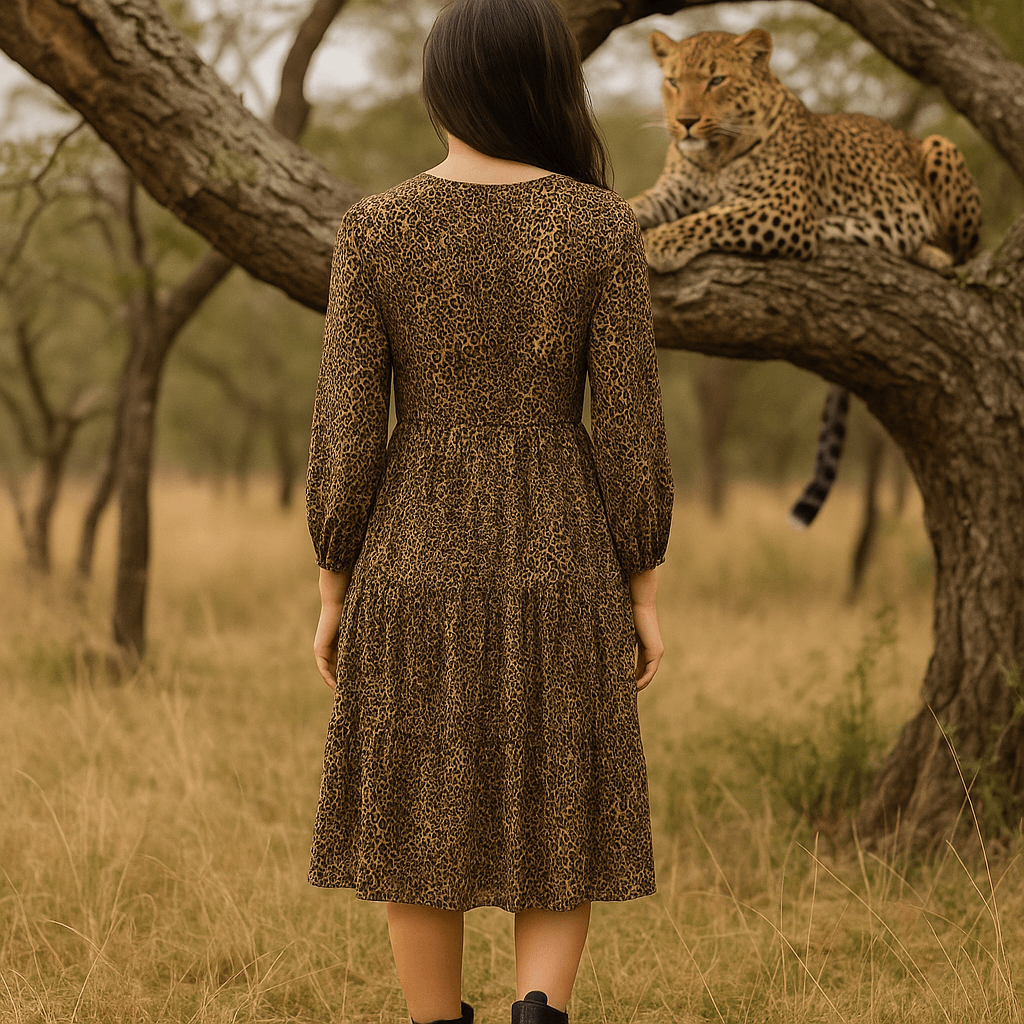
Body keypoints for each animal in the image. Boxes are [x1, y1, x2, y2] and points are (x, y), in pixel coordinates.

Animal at [629, 28, 983, 526]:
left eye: (717, 80)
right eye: (673, 81)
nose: (686, 123)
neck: (714, 157)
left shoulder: (785, 209)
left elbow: (714, 216)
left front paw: (659, 243)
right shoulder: (670, 193)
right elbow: (632, 204)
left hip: (939, 146)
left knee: (965, 251)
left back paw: (934, 254)